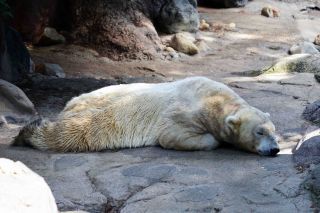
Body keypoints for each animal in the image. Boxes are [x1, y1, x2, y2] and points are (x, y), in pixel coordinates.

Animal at [14, 77, 280, 156]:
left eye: (274, 131)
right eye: (260, 131)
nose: (276, 149)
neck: (214, 99)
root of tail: (70, 104)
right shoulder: (182, 114)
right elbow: (171, 136)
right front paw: (215, 140)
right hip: (105, 112)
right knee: (79, 132)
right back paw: (28, 133)